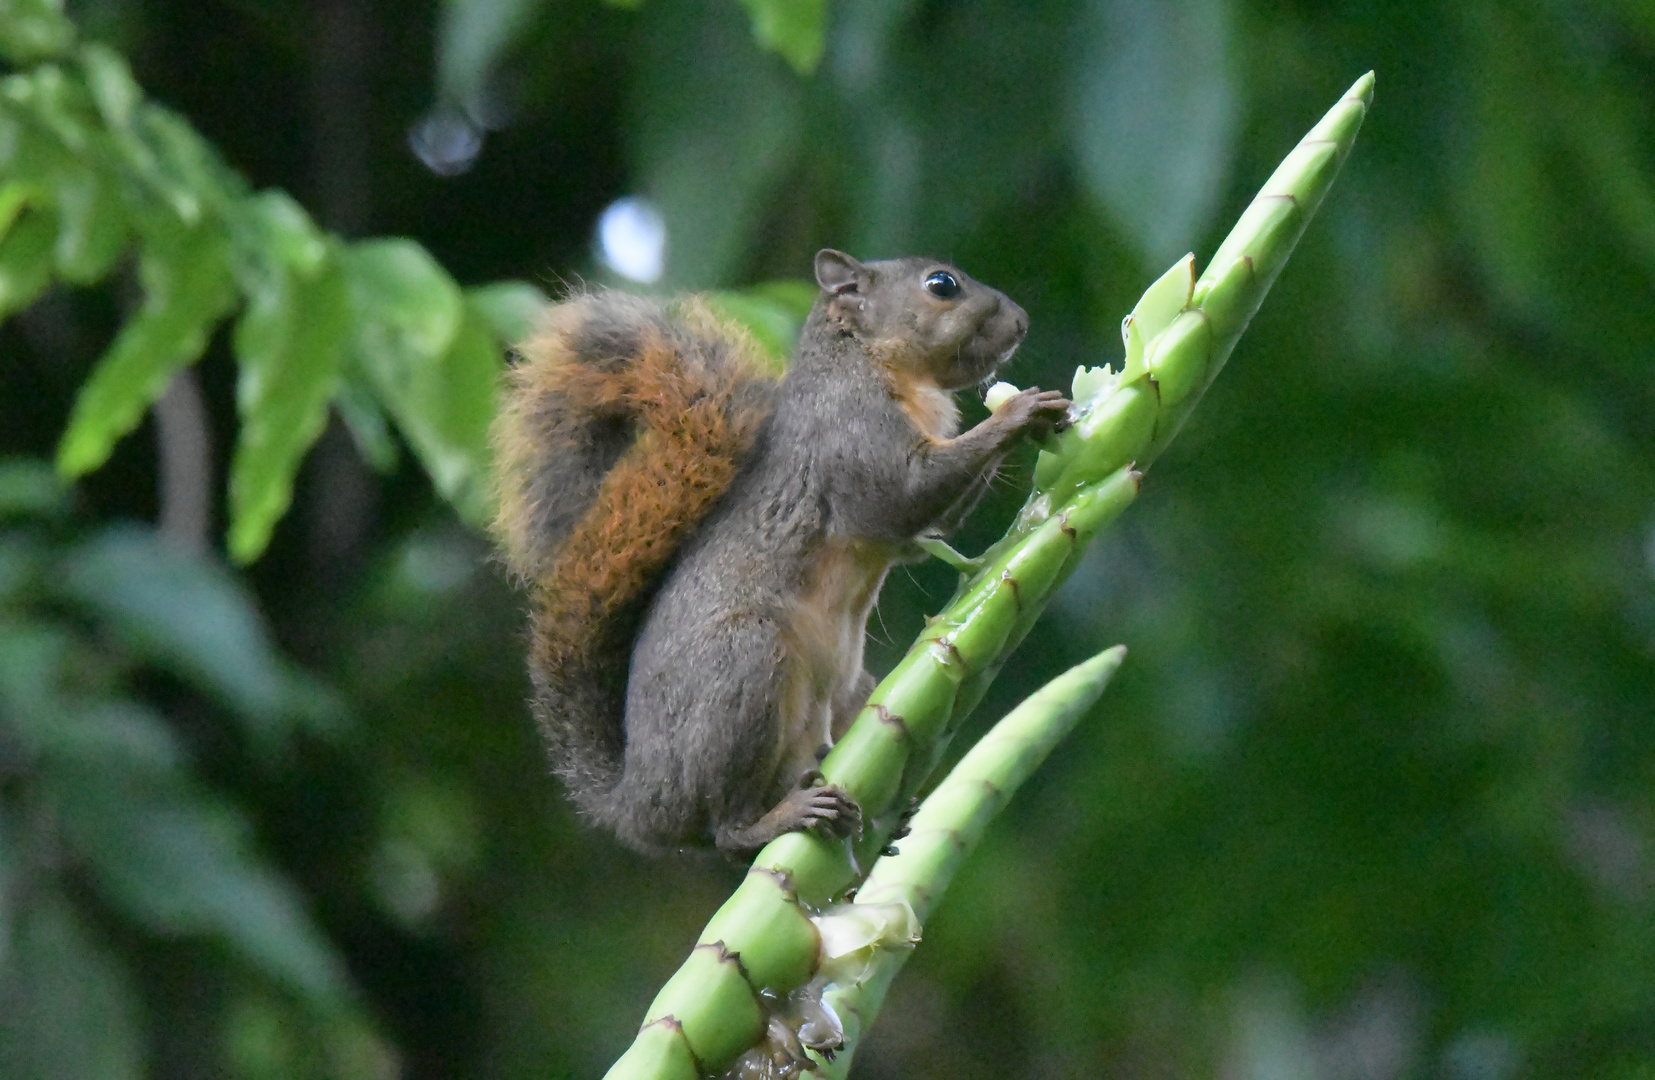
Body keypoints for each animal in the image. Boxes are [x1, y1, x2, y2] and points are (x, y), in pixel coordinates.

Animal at [486, 248, 1072, 853]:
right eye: (942, 285)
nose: (1022, 322)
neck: (866, 358)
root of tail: (640, 803)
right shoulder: (848, 429)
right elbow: (903, 495)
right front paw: (1018, 414)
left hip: (847, 696)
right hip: (743, 666)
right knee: (726, 829)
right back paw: (778, 819)